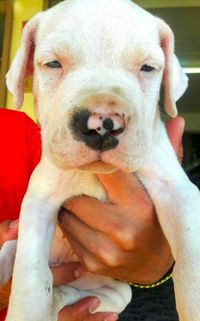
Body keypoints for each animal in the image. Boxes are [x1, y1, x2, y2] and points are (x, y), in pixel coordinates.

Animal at [0, 0, 199, 320]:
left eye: (148, 68)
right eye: (53, 64)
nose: (103, 123)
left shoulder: (178, 192)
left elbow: (192, 262)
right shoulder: (38, 203)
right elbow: (31, 280)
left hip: (115, 291)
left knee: (77, 295)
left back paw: (58, 300)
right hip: (11, 243)